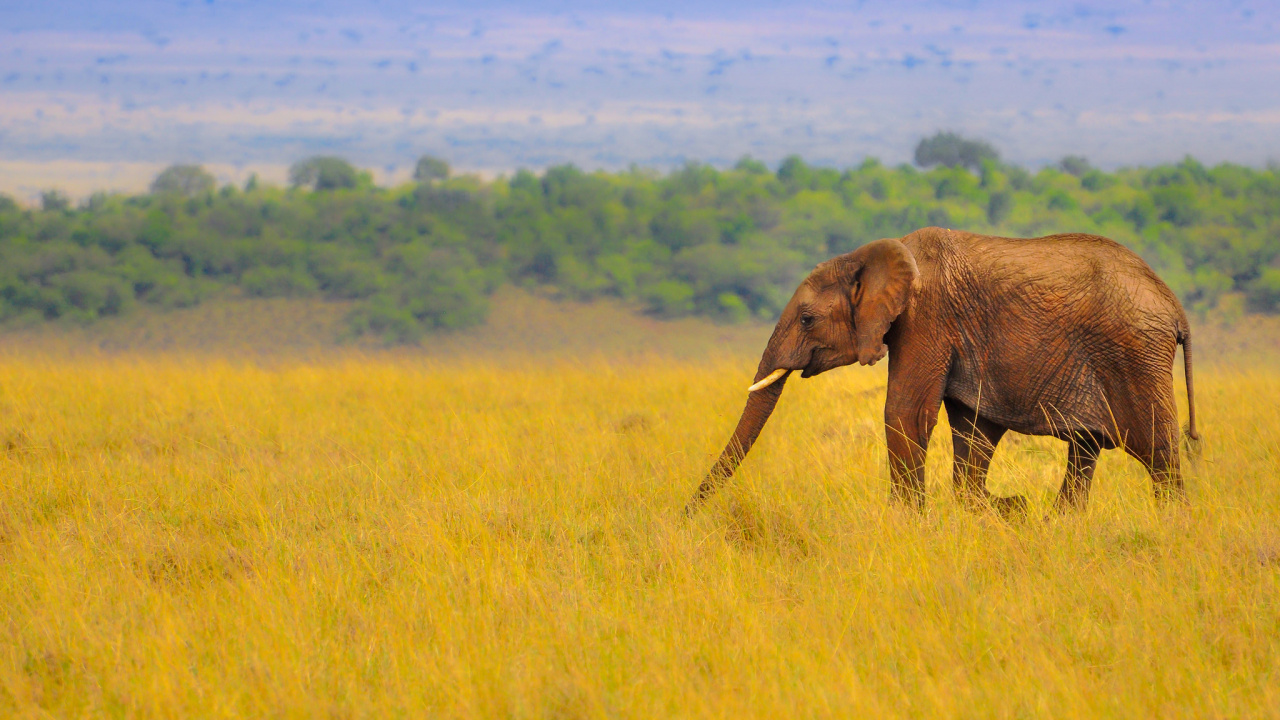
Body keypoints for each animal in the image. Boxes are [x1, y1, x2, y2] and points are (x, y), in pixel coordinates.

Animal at [687, 227, 1199, 515]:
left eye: (808, 319)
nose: (686, 514)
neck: (873, 255)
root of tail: (1175, 306)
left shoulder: (926, 319)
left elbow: (905, 415)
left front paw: (907, 523)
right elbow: (973, 428)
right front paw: (1003, 508)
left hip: (1136, 355)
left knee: (1158, 451)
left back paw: (1172, 526)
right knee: (1086, 448)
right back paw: (1060, 521)